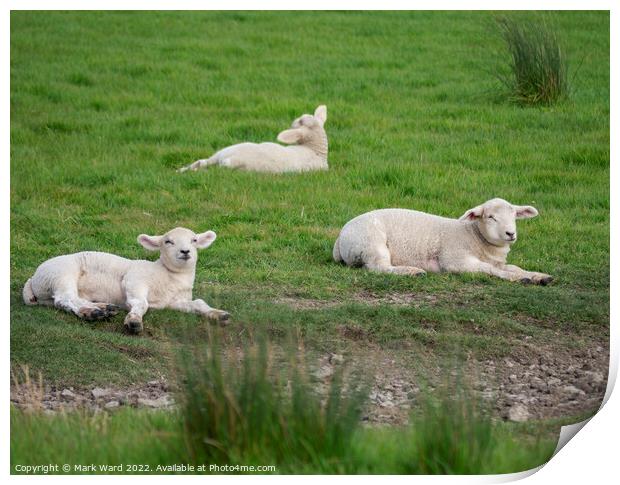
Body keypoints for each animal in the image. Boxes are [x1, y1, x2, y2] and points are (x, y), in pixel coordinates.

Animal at [21, 227, 231, 332]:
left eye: (194, 240)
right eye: (168, 241)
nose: (185, 251)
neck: (167, 275)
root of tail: (33, 278)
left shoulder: (174, 302)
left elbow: (198, 304)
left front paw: (219, 314)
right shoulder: (134, 280)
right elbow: (140, 303)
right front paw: (134, 321)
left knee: (66, 300)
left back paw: (104, 308)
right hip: (61, 274)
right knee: (65, 298)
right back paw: (91, 312)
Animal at [177, 105, 330, 173]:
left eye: (301, 121)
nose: (293, 121)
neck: (316, 150)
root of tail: (231, 159)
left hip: (225, 153)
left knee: (203, 163)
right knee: (202, 162)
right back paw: (181, 171)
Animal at [332, 199, 556, 286]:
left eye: (514, 216)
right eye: (490, 217)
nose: (511, 233)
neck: (474, 236)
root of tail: (340, 237)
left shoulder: (496, 260)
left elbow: (514, 267)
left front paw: (539, 276)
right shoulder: (455, 261)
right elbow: (491, 270)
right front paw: (519, 279)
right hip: (372, 244)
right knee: (379, 268)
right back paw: (412, 271)